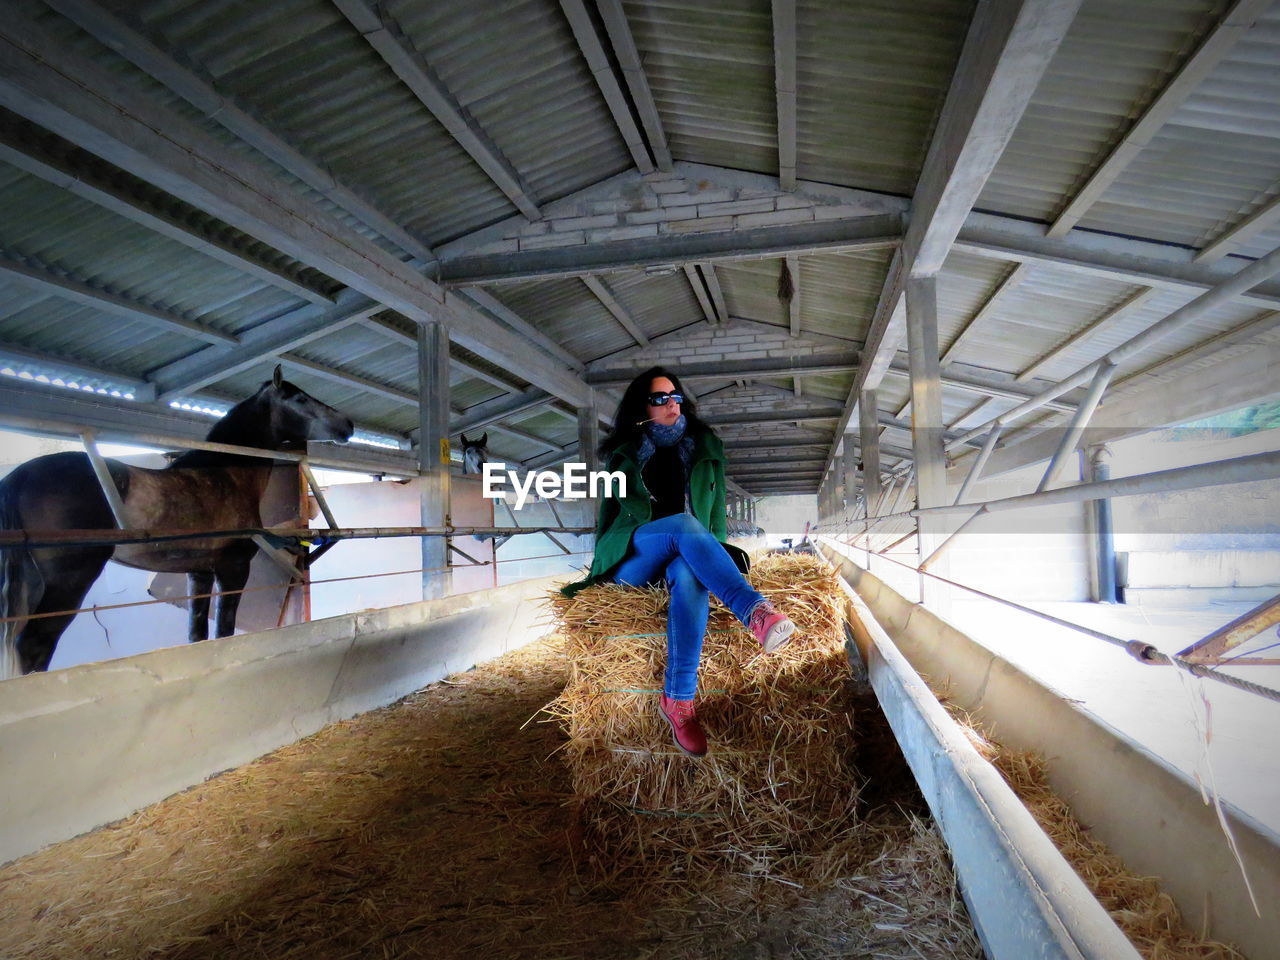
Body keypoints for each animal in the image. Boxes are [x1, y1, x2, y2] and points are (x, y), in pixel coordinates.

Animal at [0, 368, 353, 675]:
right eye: (300, 399)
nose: (347, 424)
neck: (225, 474)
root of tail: (20, 476)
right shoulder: (233, 568)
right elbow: (224, 631)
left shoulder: (199, 573)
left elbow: (197, 635)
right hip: (70, 579)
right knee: (35, 644)